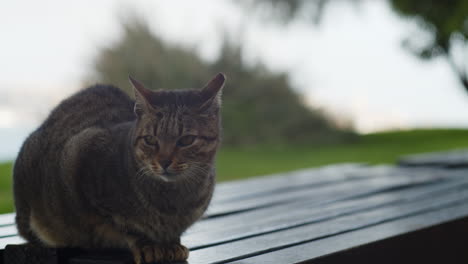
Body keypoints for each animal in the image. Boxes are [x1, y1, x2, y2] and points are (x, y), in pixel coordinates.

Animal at [12, 72, 225, 264]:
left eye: (187, 140)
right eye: (150, 140)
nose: (164, 161)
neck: (173, 200)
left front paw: (173, 243)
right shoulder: (80, 154)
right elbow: (126, 226)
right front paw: (148, 245)